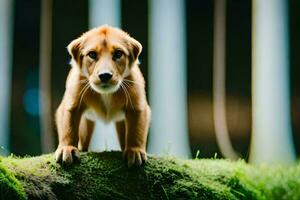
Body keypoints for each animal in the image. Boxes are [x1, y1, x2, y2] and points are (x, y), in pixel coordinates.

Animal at [54, 25, 150, 166]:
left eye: (118, 54)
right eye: (92, 54)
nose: (105, 75)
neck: (106, 94)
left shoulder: (137, 106)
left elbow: (136, 131)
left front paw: (134, 150)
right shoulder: (71, 104)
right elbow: (68, 127)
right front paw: (67, 148)